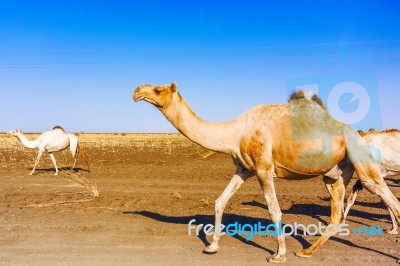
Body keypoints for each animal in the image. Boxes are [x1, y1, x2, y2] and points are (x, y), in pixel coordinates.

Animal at [134, 83, 400, 264]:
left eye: (158, 89)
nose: (137, 91)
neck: (234, 132)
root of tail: (358, 134)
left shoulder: (264, 169)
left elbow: (274, 210)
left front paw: (278, 254)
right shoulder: (243, 169)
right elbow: (220, 201)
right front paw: (212, 246)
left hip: (363, 164)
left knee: (391, 200)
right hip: (334, 174)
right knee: (336, 215)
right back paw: (306, 251)